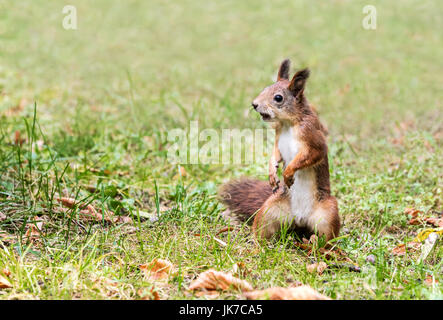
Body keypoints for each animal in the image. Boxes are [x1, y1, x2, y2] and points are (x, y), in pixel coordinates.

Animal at [220, 58, 342, 242]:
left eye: (278, 98)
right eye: (265, 88)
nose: (254, 104)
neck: (288, 123)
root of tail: (299, 220)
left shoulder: (311, 135)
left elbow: (312, 154)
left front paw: (288, 173)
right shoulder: (278, 136)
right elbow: (275, 154)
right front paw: (272, 172)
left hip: (328, 213)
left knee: (327, 238)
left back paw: (316, 243)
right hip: (269, 210)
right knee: (262, 229)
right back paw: (256, 242)